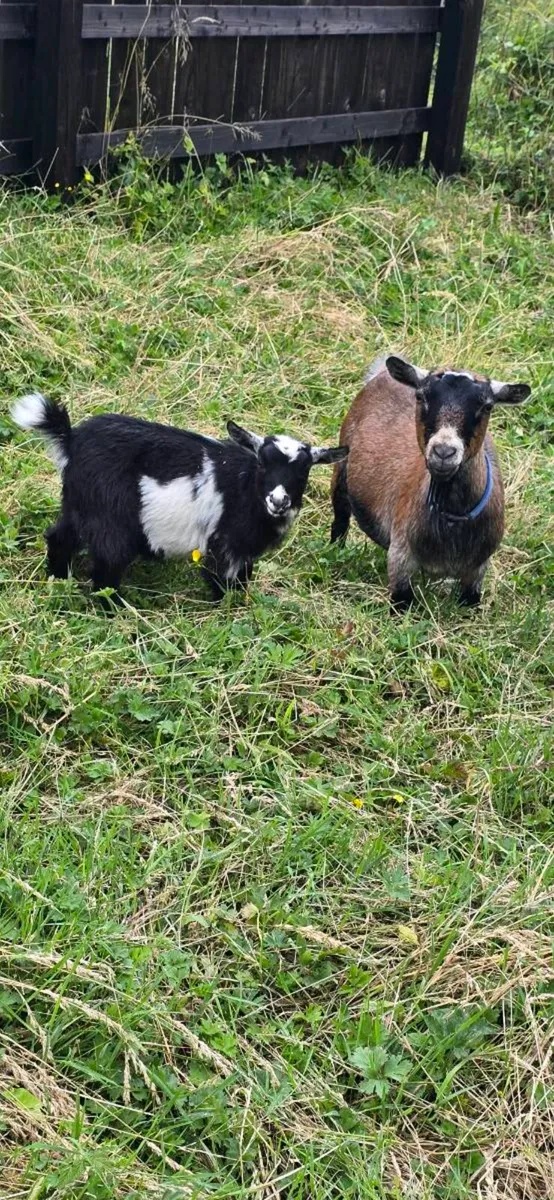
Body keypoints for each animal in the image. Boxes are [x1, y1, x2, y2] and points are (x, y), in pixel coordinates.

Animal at [12, 394, 348, 604]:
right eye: (263, 464)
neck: (245, 489)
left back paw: (58, 579)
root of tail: (71, 440)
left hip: (80, 504)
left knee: (59, 537)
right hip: (108, 515)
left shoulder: (244, 552)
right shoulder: (224, 545)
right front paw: (229, 611)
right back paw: (114, 608)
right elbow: (222, 583)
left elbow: (244, 578)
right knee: (107, 565)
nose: (278, 501)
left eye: (303, 472)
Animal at [330, 355, 530, 610]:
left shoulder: (477, 570)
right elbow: (402, 602)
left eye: (487, 406)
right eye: (421, 396)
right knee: (340, 521)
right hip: (341, 472)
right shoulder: (400, 557)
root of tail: (381, 374)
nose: (443, 451)